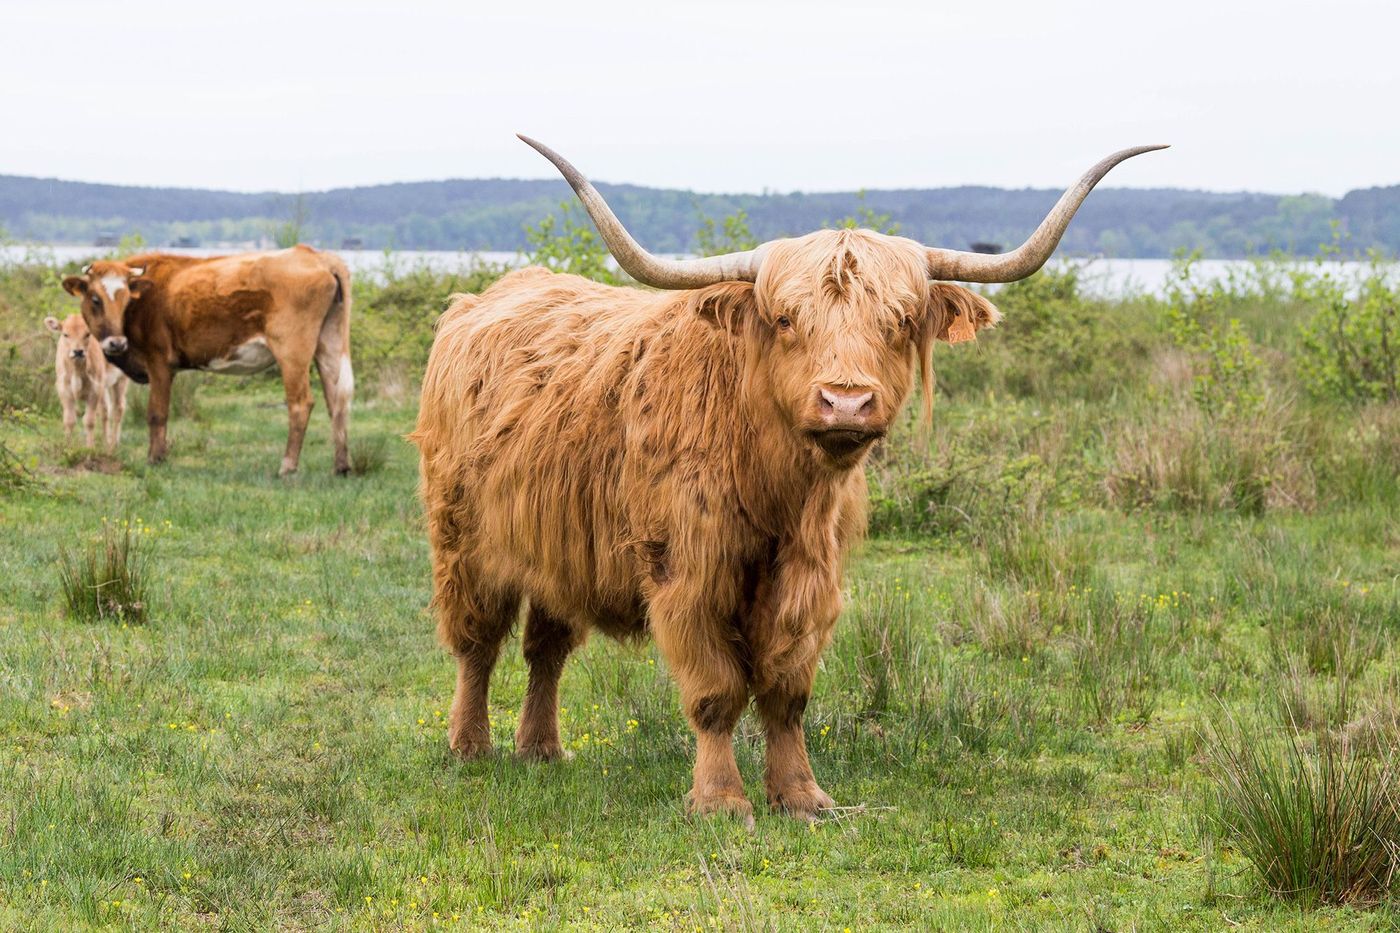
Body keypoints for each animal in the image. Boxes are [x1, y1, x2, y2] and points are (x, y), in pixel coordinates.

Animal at [43, 313, 128, 450]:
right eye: (65, 334)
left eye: (88, 334)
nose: (78, 351)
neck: (77, 371)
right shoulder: (64, 390)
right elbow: (69, 420)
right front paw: (67, 447)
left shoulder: (94, 391)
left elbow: (89, 421)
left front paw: (89, 448)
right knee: (105, 410)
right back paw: (106, 442)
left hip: (121, 379)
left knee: (118, 408)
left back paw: (113, 445)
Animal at [61, 245, 353, 475]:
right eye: (95, 299)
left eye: (125, 300)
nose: (117, 343)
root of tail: (316, 255)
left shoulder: (159, 363)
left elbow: (157, 413)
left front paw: (155, 459)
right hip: (330, 344)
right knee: (337, 401)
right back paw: (341, 466)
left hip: (292, 351)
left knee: (301, 404)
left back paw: (287, 466)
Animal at [412, 137, 1164, 823]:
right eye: (784, 318)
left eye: (899, 320)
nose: (846, 401)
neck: (777, 487)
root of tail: (484, 297)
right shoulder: (690, 571)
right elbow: (715, 691)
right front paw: (721, 800)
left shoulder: (810, 575)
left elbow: (785, 689)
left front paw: (801, 796)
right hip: (462, 539)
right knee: (477, 643)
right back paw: (471, 746)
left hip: (555, 549)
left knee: (545, 647)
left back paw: (542, 749)